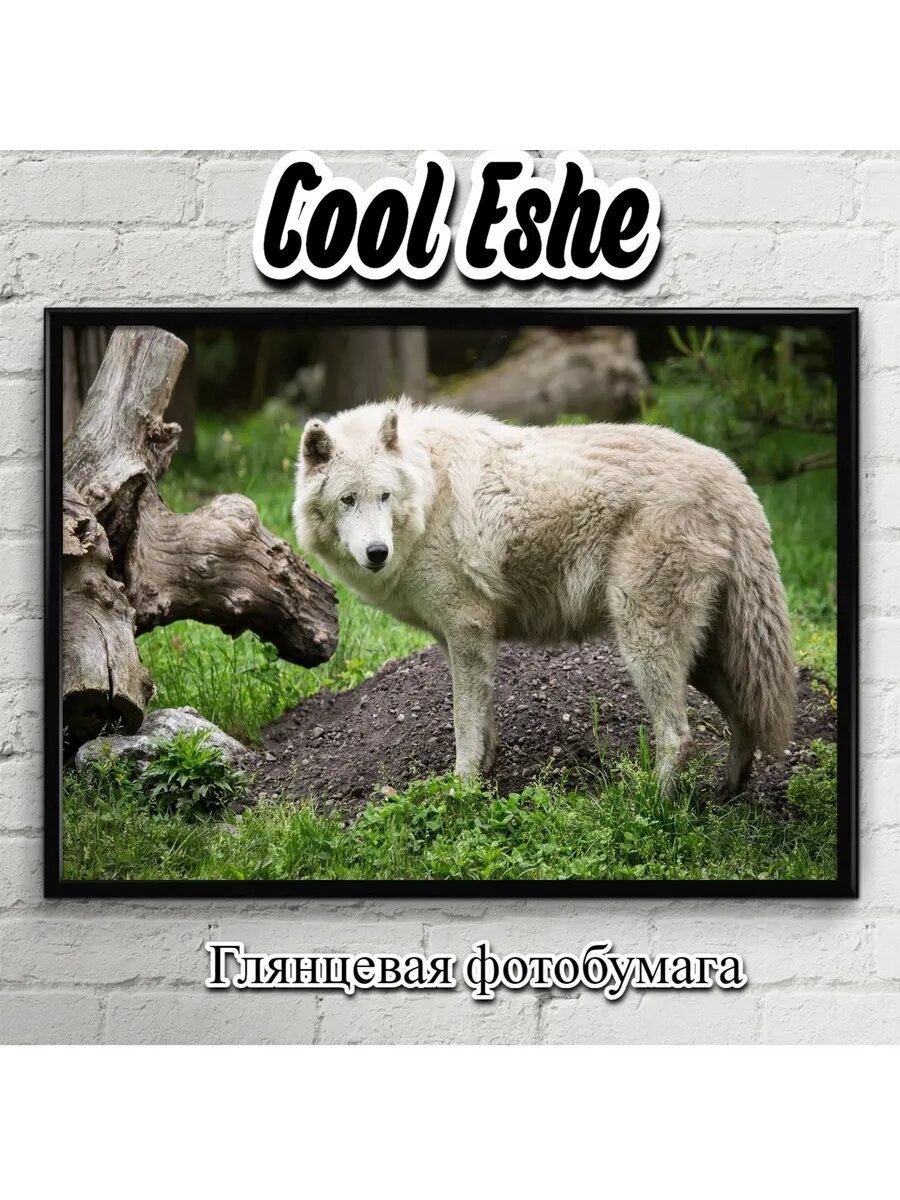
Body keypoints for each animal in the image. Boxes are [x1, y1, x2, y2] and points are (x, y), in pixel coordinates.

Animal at [293, 398, 796, 796]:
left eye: (384, 496)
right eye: (348, 500)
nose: (377, 552)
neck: (427, 491)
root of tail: (734, 480)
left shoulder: (468, 631)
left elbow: (463, 725)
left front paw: (462, 790)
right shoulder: (460, 640)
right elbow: (483, 723)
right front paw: (484, 775)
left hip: (645, 644)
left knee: (678, 734)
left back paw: (651, 806)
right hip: (702, 657)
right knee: (745, 715)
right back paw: (727, 792)